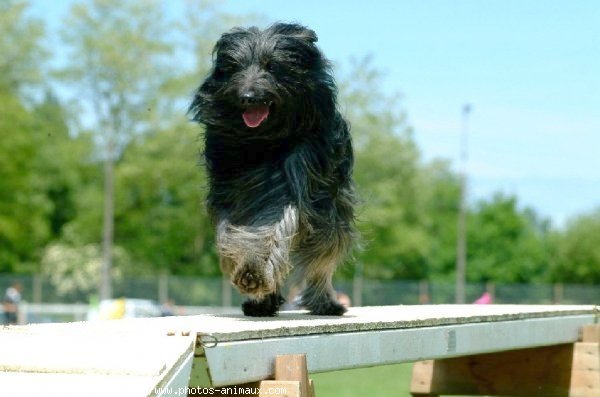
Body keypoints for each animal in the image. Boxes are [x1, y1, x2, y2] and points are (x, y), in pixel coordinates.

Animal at [188, 22, 356, 316]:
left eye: (272, 66)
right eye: (235, 67)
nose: (247, 97)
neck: (264, 141)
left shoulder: (294, 183)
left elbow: (270, 226)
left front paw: (254, 271)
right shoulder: (234, 190)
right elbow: (238, 233)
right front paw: (251, 273)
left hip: (332, 212)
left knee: (322, 258)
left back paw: (324, 302)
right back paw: (262, 303)